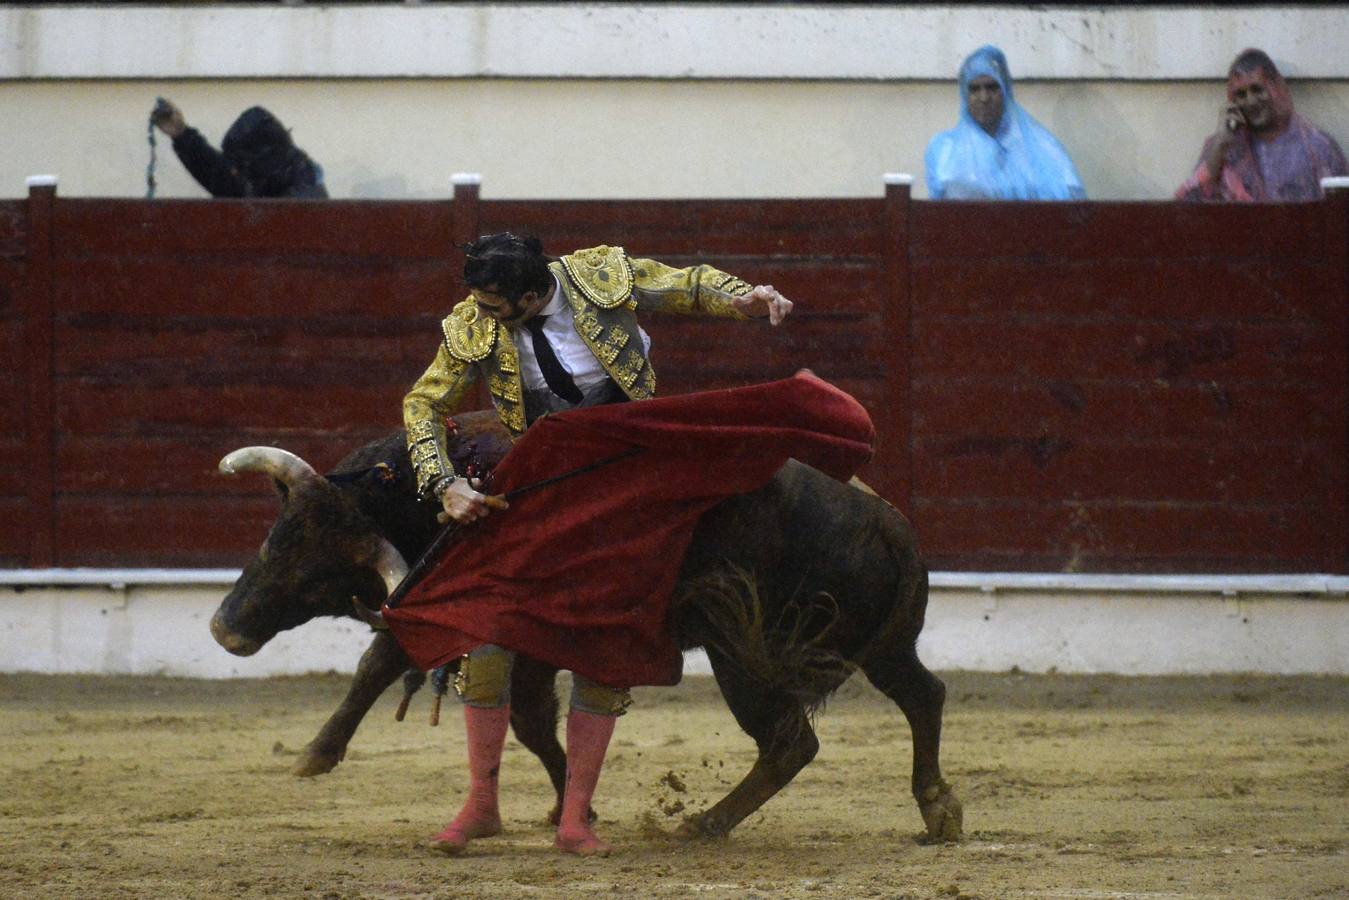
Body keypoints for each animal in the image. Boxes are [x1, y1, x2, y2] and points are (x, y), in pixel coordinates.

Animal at [213, 415, 960, 847]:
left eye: (320, 580)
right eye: (275, 538)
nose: (226, 631)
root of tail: (889, 524)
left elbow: (385, 658)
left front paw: (316, 754)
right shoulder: (532, 639)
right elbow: (529, 719)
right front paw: (568, 806)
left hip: (740, 652)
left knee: (790, 741)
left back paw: (704, 823)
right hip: (877, 647)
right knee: (923, 695)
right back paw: (938, 811)